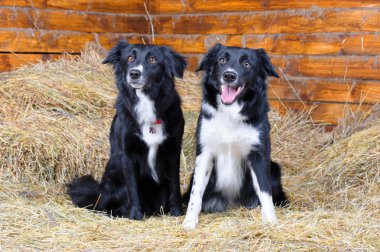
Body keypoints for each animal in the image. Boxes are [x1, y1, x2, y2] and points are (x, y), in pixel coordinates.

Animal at [69, 40, 188, 220]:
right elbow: (133, 189)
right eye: (130, 58)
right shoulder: (128, 154)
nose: (134, 73)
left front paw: (176, 212)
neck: (146, 103)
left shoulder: (173, 151)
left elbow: (175, 186)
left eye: (152, 59)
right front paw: (135, 215)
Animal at [183, 43, 286, 230]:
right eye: (222, 60)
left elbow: (264, 191)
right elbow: (196, 192)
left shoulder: (258, 155)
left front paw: (270, 220)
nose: (229, 75)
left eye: (247, 64)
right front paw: (189, 221)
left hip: (274, 168)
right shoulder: (204, 153)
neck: (230, 112)